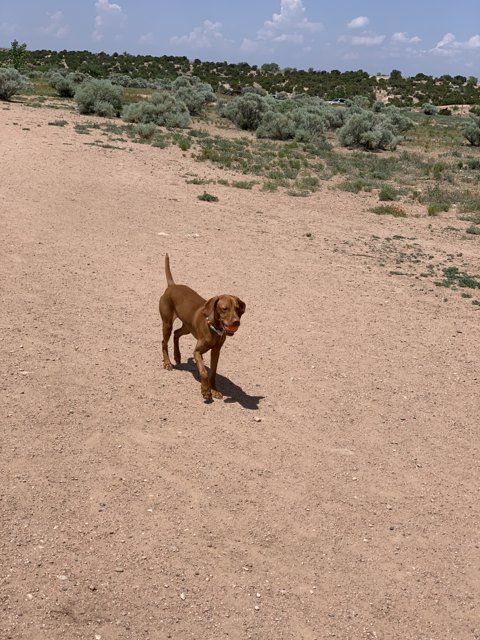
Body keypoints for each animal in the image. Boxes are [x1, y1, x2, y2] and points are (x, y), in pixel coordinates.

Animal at [159, 255, 246, 400]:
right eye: (224, 309)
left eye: (237, 309)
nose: (236, 322)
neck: (214, 328)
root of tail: (172, 286)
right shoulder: (197, 352)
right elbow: (204, 371)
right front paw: (205, 391)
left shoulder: (216, 351)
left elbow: (213, 372)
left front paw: (214, 390)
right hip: (167, 324)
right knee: (164, 342)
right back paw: (167, 363)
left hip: (187, 328)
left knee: (176, 333)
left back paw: (177, 355)